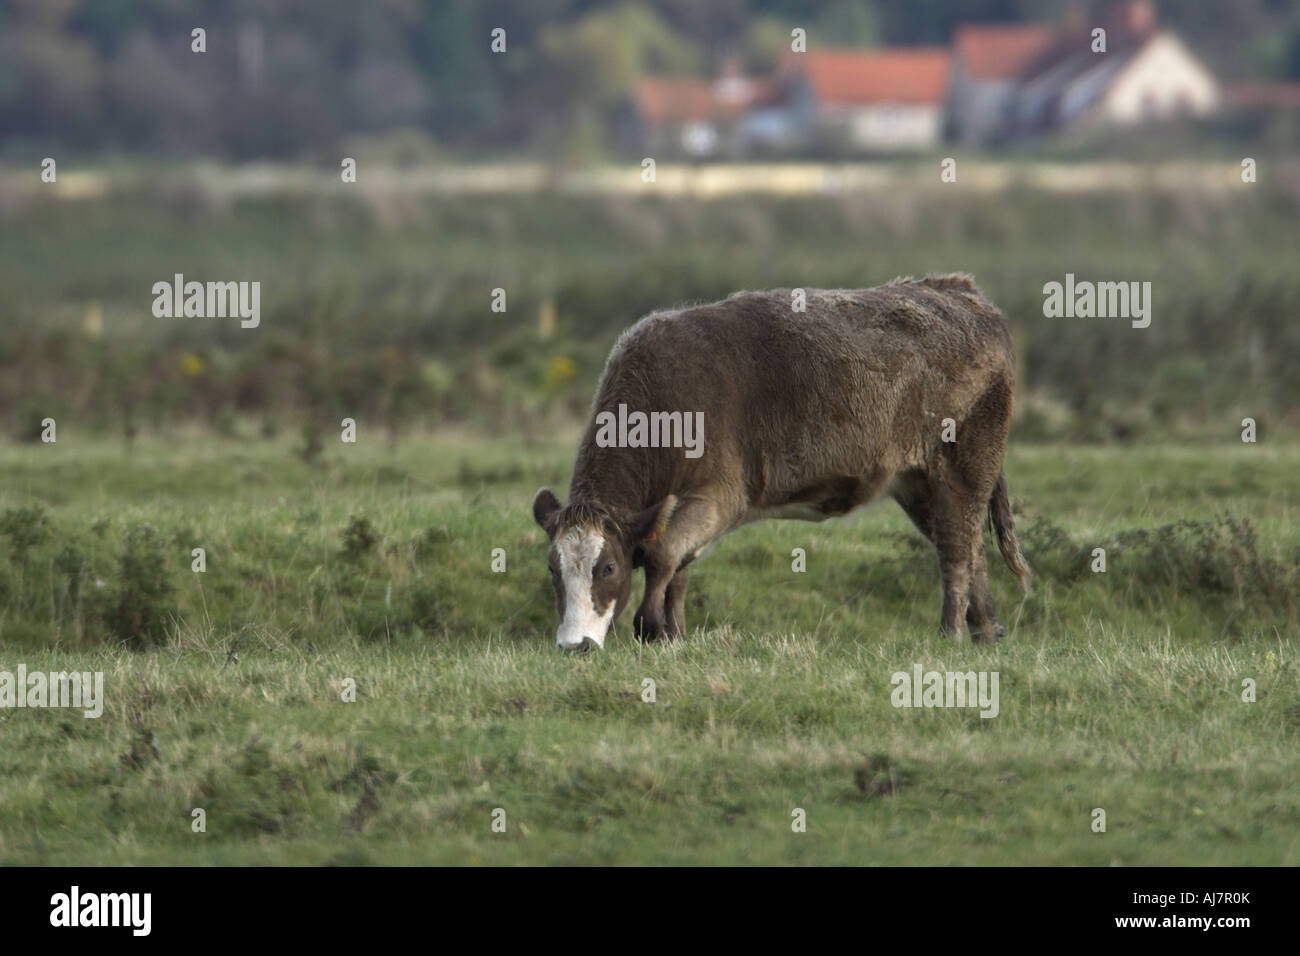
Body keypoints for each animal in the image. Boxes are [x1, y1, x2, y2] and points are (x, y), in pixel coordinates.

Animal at [533, 274, 1029, 650]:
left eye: (607, 567)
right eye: (553, 568)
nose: (573, 645)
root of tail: (956, 289)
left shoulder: (718, 495)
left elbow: (663, 556)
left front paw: (652, 628)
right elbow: (680, 567)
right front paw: (674, 635)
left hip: (964, 464)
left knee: (956, 549)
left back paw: (951, 634)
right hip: (919, 483)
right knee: (968, 542)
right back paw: (986, 631)